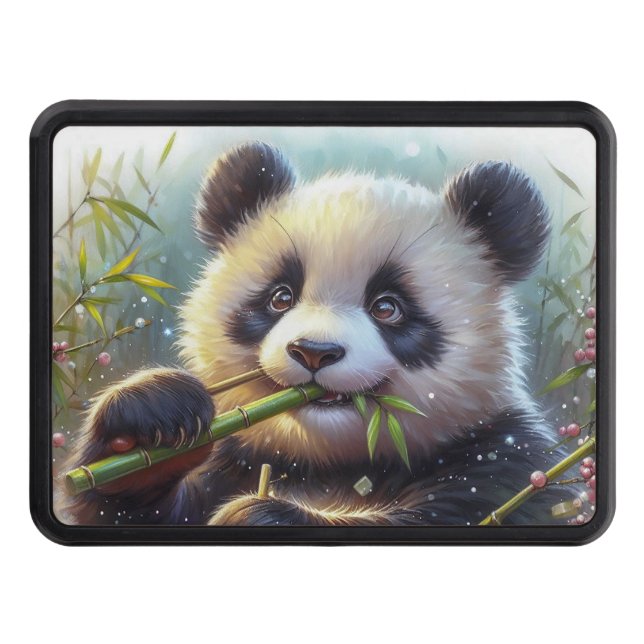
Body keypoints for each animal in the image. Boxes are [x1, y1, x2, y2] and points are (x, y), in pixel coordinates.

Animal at [62, 141, 557, 527]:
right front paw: (149, 421)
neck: (326, 462)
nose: (314, 352)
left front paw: (258, 514)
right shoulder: (238, 457)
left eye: (388, 307)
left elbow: (459, 510)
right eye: (280, 297)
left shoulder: (501, 458)